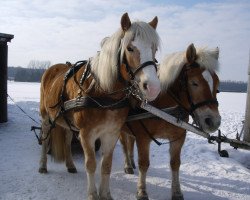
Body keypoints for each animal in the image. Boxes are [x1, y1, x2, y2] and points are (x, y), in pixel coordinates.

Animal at [37, 12, 161, 200]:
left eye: (154, 48)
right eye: (130, 48)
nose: (153, 88)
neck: (104, 93)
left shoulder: (111, 133)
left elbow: (106, 165)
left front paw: (105, 194)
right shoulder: (87, 134)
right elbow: (91, 164)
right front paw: (93, 194)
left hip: (67, 121)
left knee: (67, 139)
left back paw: (70, 164)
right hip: (45, 117)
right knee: (45, 139)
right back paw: (43, 165)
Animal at [120, 43, 222, 200]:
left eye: (217, 84)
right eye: (194, 83)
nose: (213, 121)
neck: (164, 108)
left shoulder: (178, 138)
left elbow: (175, 163)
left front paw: (177, 191)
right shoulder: (143, 138)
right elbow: (144, 163)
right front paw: (142, 191)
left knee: (130, 142)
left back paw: (130, 162)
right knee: (124, 146)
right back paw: (127, 165)